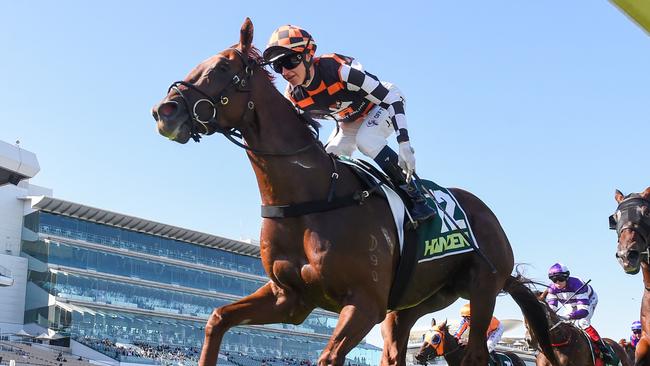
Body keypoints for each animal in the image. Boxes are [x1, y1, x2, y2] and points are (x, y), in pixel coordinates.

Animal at [152, 17, 556, 366]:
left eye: (221, 68)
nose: (164, 111)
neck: (311, 197)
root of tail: (488, 214)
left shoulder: (364, 303)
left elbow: (328, 357)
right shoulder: (289, 299)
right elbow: (217, 318)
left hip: (484, 288)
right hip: (412, 305)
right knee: (395, 352)